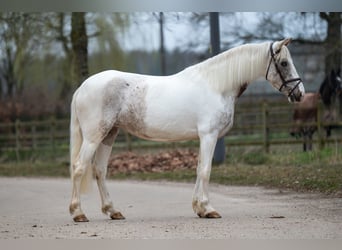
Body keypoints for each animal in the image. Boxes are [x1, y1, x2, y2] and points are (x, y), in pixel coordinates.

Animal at [68, 38, 304, 222]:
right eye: (284, 63)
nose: (299, 93)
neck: (217, 86)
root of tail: (82, 87)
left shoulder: (204, 137)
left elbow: (199, 169)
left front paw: (199, 208)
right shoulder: (209, 135)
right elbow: (206, 170)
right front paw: (209, 209)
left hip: (109, 135)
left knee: (99, 170)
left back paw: (113, 211)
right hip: (94, 137)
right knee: (79, 167)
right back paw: (78, 213)